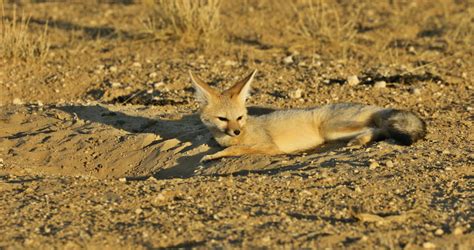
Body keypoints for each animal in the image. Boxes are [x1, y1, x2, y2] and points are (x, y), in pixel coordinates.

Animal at [191, 70, 428, 162]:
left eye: (239, 117)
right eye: (223, 119)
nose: (236, 131)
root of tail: (376, 105)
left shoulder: (269, 147)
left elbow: (236, 149)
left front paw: (212, 156)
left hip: (330, 129)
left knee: (377, 129)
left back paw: (359, 141)